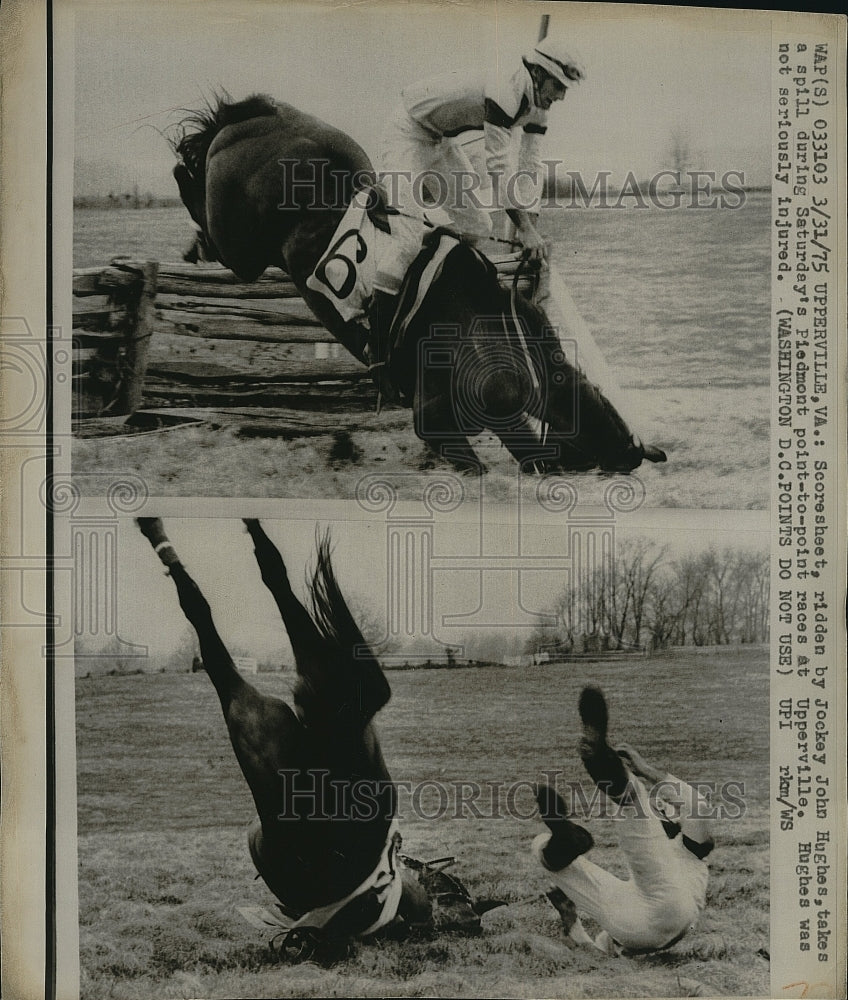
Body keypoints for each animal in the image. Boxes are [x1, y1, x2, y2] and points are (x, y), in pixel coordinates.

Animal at [169, 92, 664, 474]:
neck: (496, 333)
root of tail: (254, 116)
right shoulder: (443, 420)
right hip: (241, 242)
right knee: (204, 209)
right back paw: (190, 222)